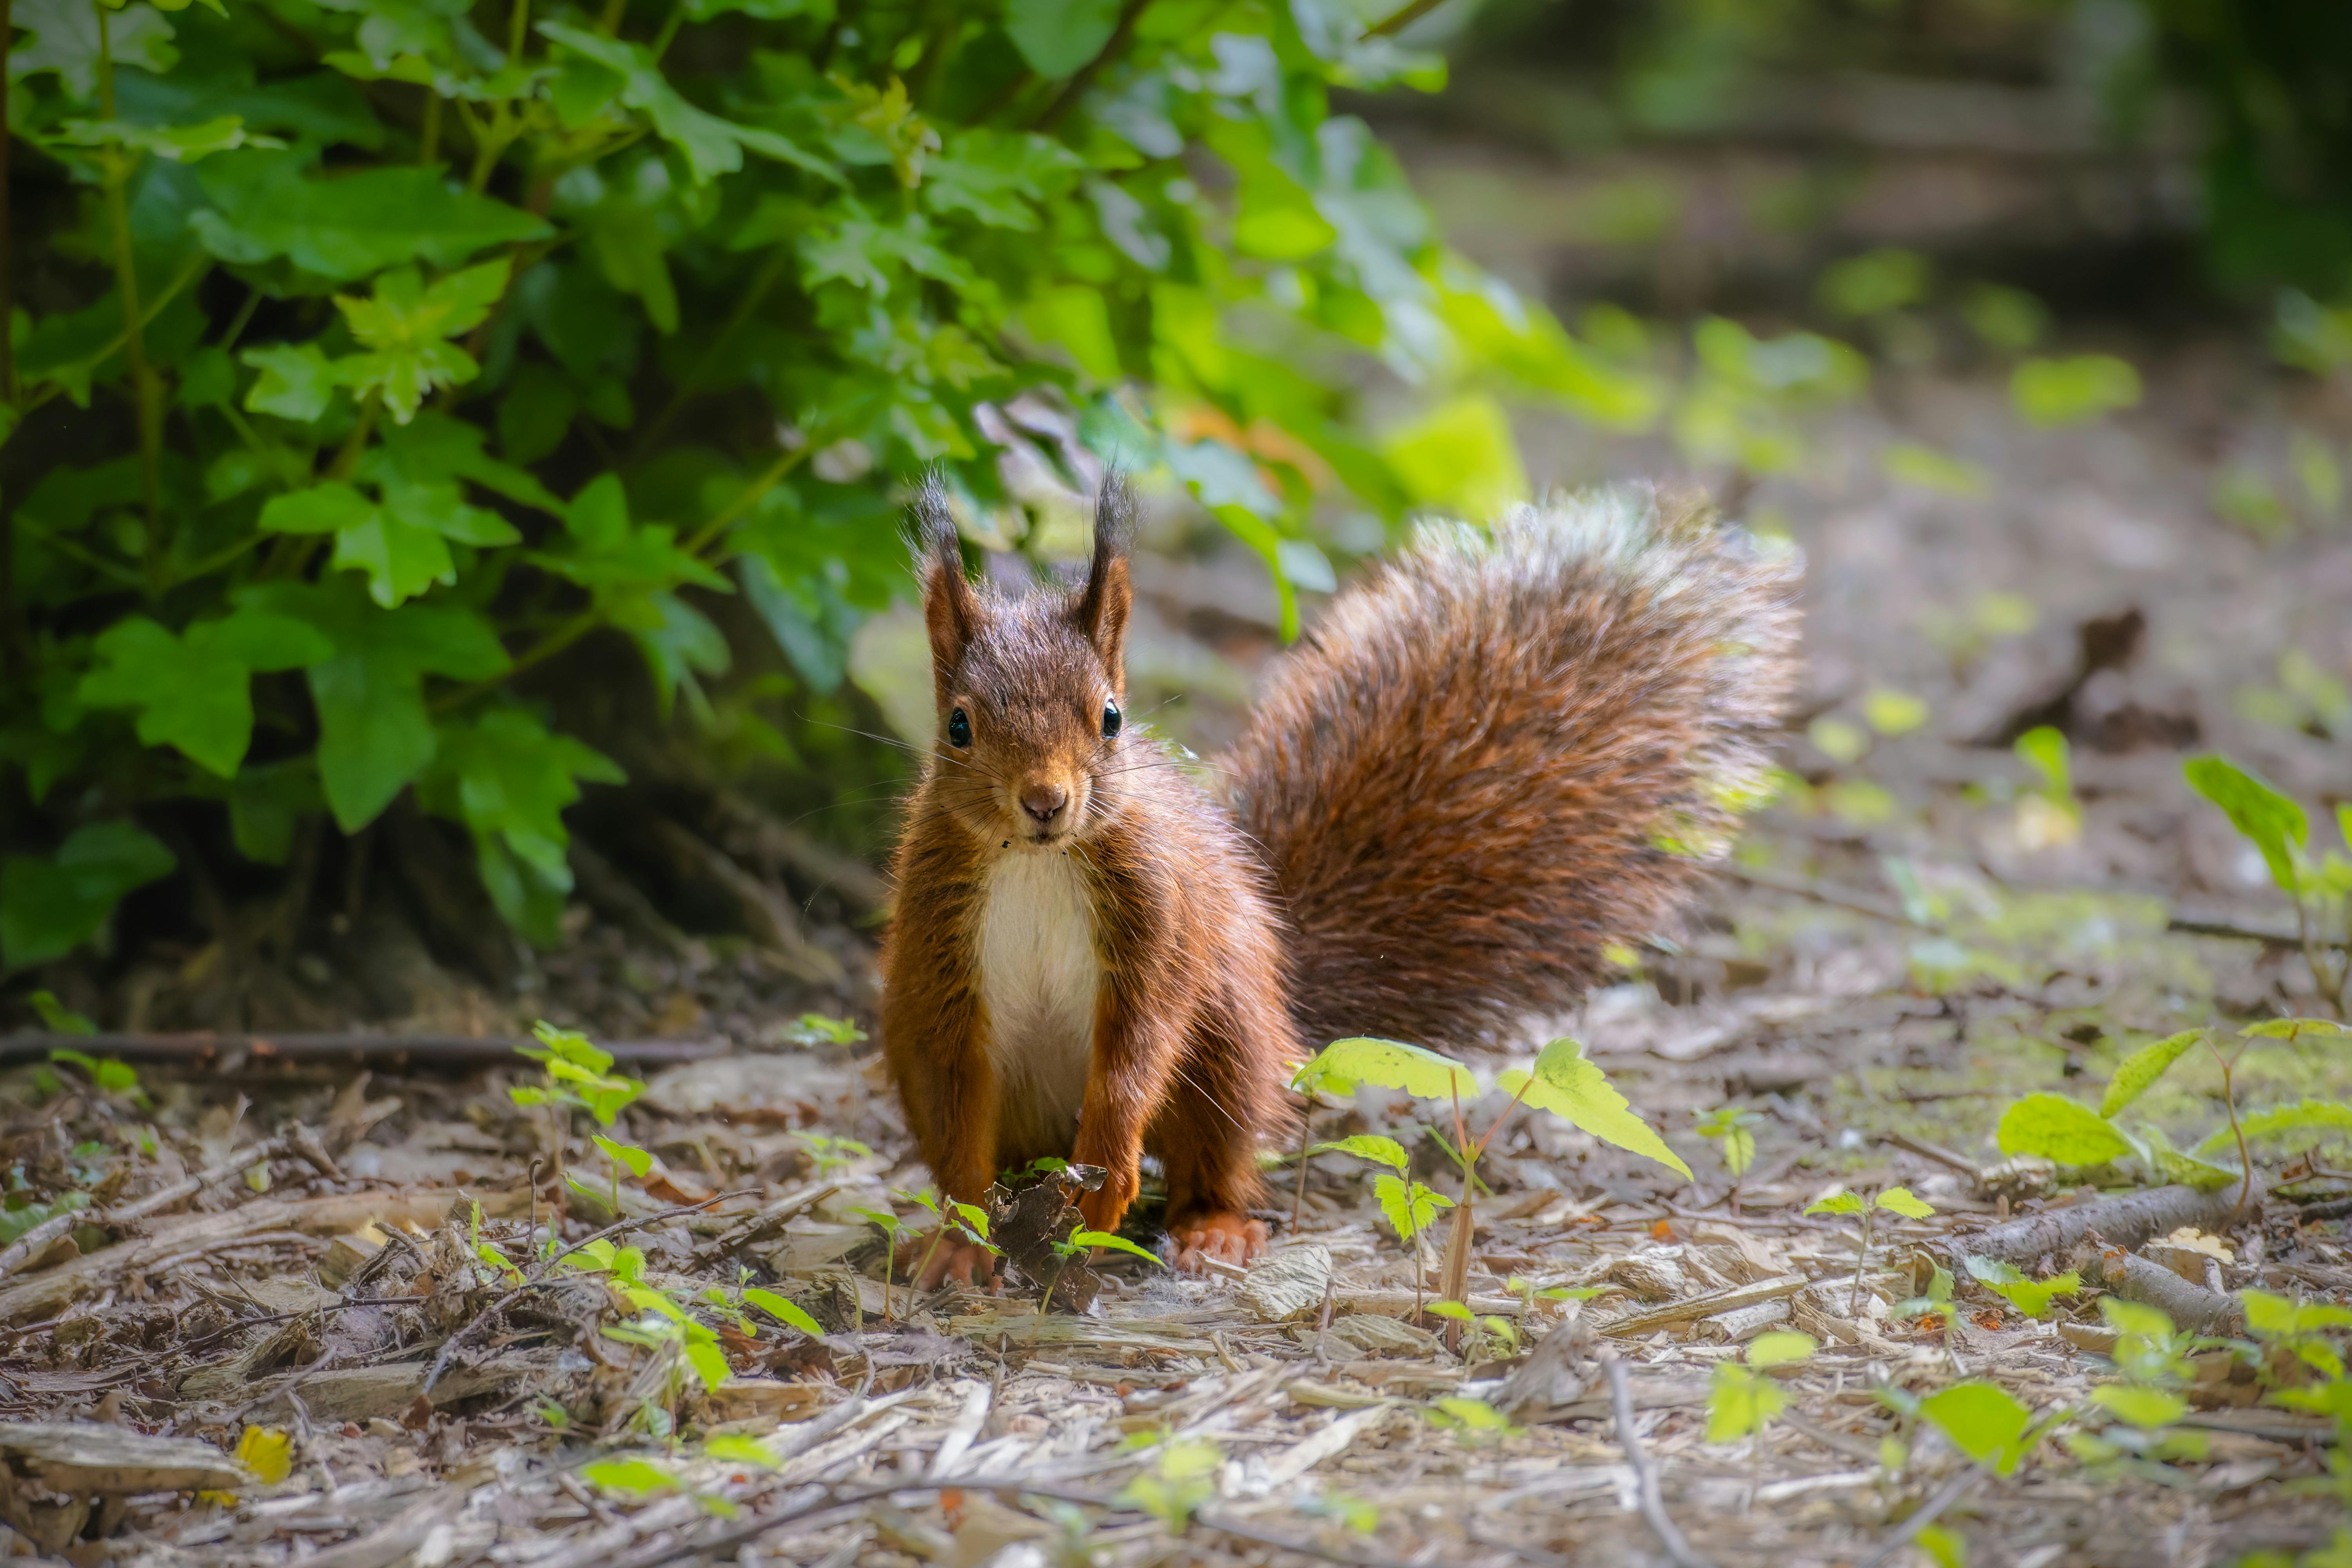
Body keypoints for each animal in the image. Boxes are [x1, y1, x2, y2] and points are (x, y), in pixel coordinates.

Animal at [884, 482, 1797, 1288]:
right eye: (959, 725)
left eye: (1111, 717)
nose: (1045, 801)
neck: (1039, 860)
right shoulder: (939, 943)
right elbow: (957, 1089)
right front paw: (959, 1239)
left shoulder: (1161, 913)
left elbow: (1141, 1042)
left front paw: (1107, 1175)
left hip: (1229, 1046)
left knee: (1217, 1153)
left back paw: (1211, 1227)